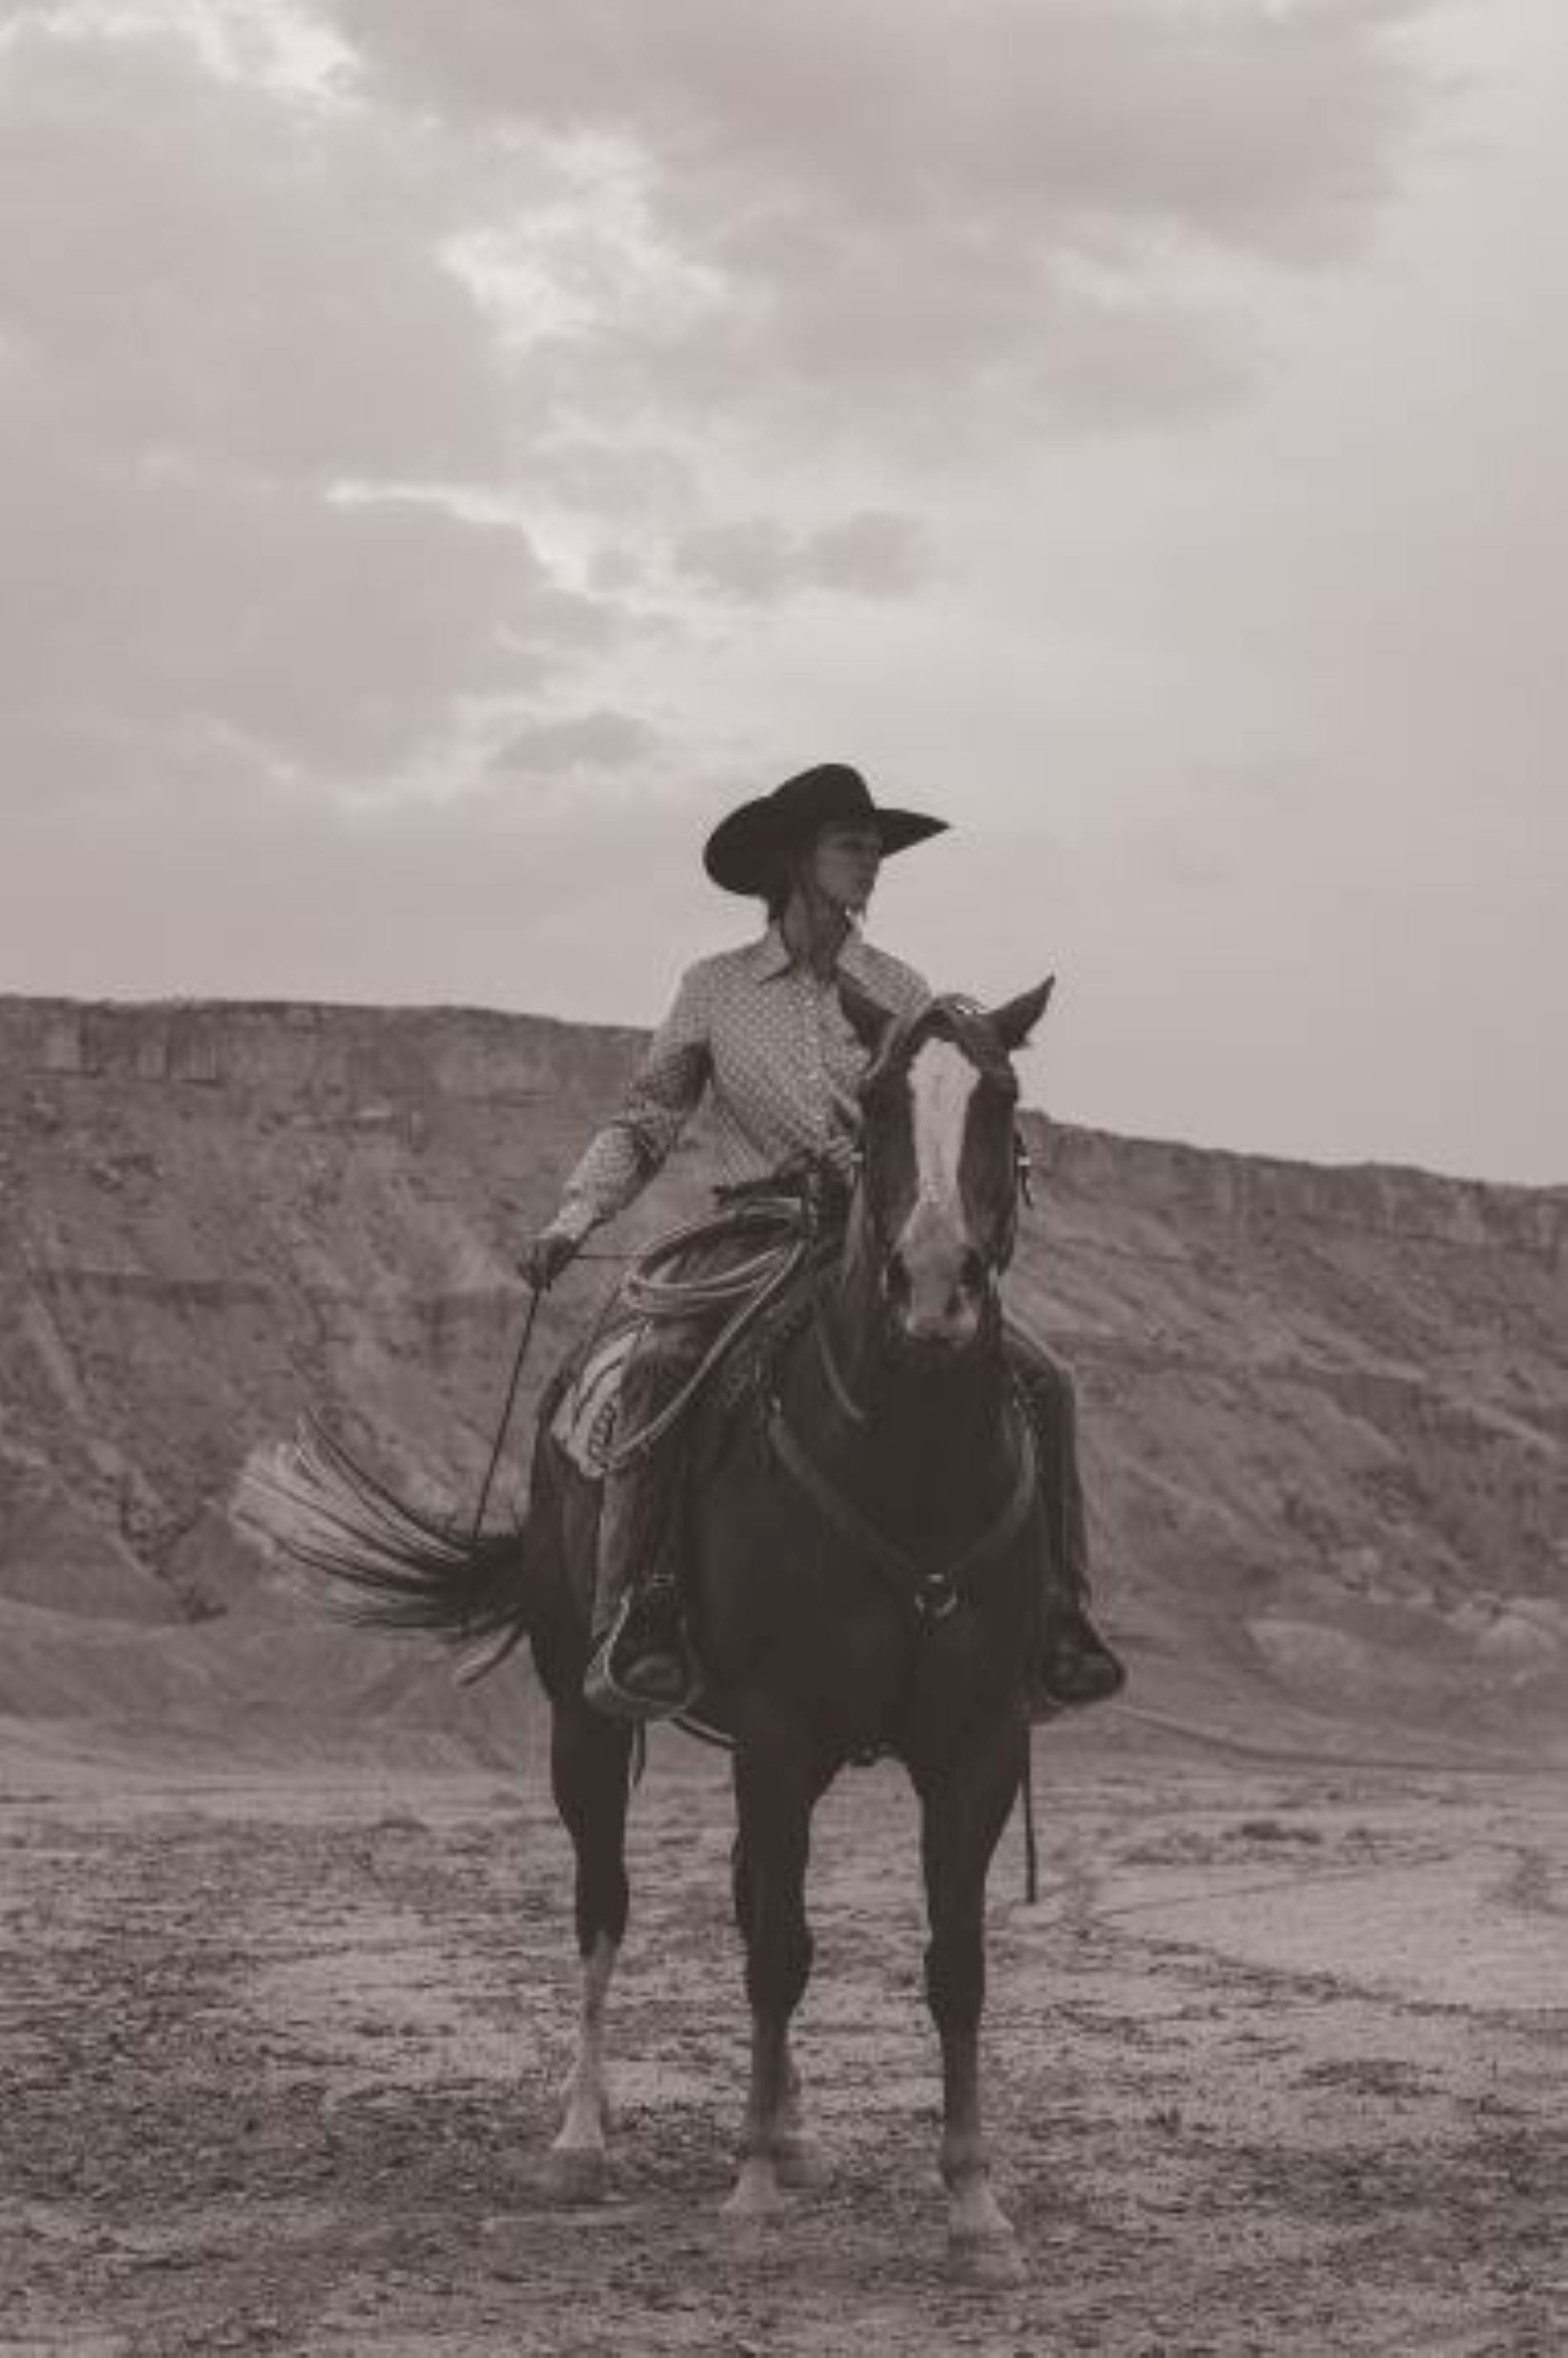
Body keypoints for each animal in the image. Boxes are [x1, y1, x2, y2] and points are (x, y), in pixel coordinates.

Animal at [257, 977, 1057, 2285]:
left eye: (998, 1097)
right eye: (878, 1100)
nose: (934, 1286)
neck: (906, 1462)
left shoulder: (976, 1738)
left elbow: (954, 1964)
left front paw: (974, 2209)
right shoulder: (778, 1728)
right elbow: (775, 1948)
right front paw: (748, 2194)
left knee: (742, 1901)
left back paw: (791, 2130)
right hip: (585, 1719)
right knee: (607, 1903)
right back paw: (581, 2142)